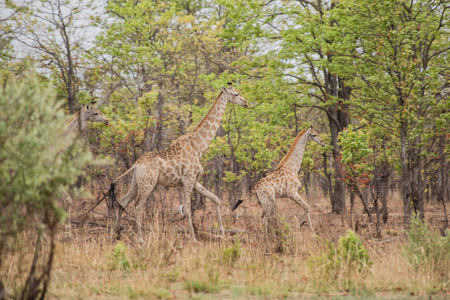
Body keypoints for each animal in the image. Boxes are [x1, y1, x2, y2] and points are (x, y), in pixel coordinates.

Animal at [110, 83, 250, 243]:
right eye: (236, 94)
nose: (246, 103)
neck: (198, 147)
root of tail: (137, 164)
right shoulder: (188, 180)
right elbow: (188, 210)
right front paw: (194, 239)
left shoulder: (194, 181)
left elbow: (216, 199)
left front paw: (222, 233)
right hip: (148, 183)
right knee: (138, 206)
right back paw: (141, 239)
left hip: (135, 183)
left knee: (123, 201)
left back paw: (113, 234)